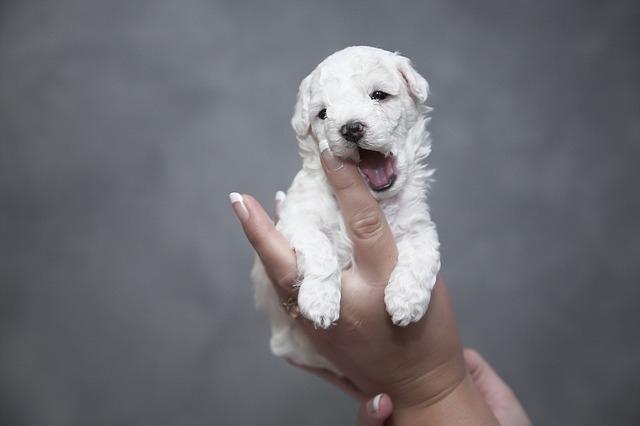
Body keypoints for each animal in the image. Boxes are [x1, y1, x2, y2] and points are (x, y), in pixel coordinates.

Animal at [250, 46, 440, 372]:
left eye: (379, 95)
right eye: (323, 113)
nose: (351, 129)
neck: (375, 201)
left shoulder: (419, 227)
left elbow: (422, 254)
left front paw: (406, 301)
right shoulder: (296, 220)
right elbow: (321, 249)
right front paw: (320, 301)